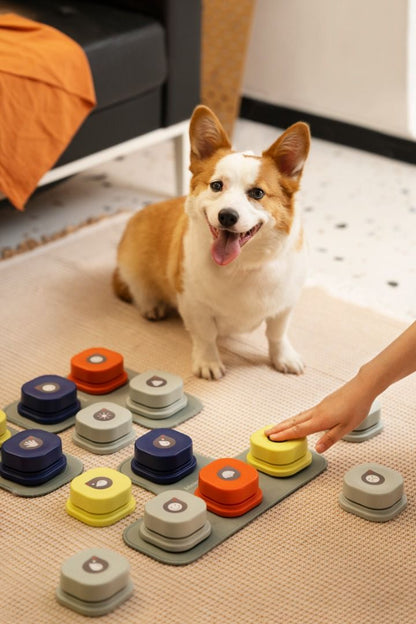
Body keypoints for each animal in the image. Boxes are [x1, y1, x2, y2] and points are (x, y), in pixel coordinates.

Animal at [113, 106, 308, 380]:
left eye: (257, 193)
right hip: (132, 264)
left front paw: (283, 358)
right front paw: (208, 363)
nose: (227, 216)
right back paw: (151, 306)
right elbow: (206, 337)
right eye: (217, 185)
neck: (241, 266)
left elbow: (277, 335)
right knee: (138, 289)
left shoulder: (284, 306)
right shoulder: (194, 305)